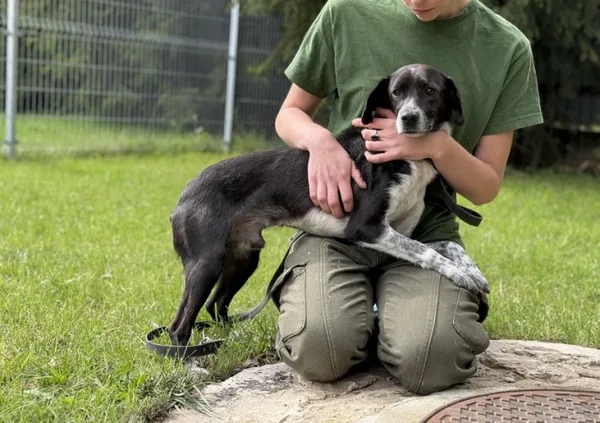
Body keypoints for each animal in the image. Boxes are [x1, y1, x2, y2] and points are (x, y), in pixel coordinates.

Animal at [166, 63, 490, 348]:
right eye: (396, 93)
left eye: (430, 90)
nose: (408, 118)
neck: (405, 157)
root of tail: (184, 196)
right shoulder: (367, 228)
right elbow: (427, 252)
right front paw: (459, 274)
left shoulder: (398, 235)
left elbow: (446, 245)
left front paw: (472, 271)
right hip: (208, 262)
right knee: (178, 326)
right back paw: (192, 364)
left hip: (244, 257)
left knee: (216, 304)